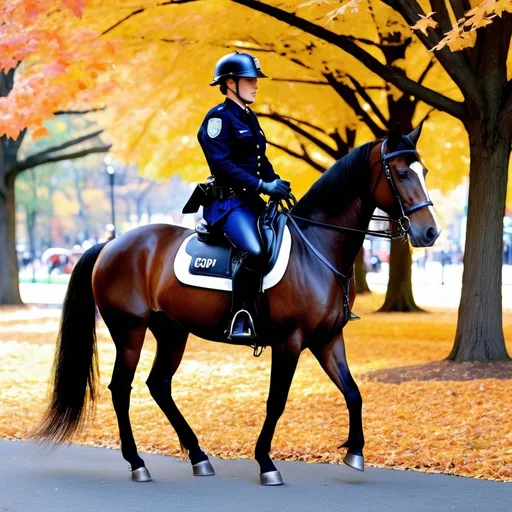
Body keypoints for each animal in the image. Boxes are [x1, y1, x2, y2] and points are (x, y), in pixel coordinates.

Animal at [34, 123, 440, 484]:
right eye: (402, 172)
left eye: (423, 170)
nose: (430, 232)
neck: (317, 246)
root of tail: (111, 244)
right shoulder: (290, 342)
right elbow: (276, 401)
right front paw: (266, 462)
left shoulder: (327, 339)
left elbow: (353, 392)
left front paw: (355, 451)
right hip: (129, 331)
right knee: (122, 389)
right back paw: (137, 463)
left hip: (172, 332)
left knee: (159, 384)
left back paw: (198, 456)